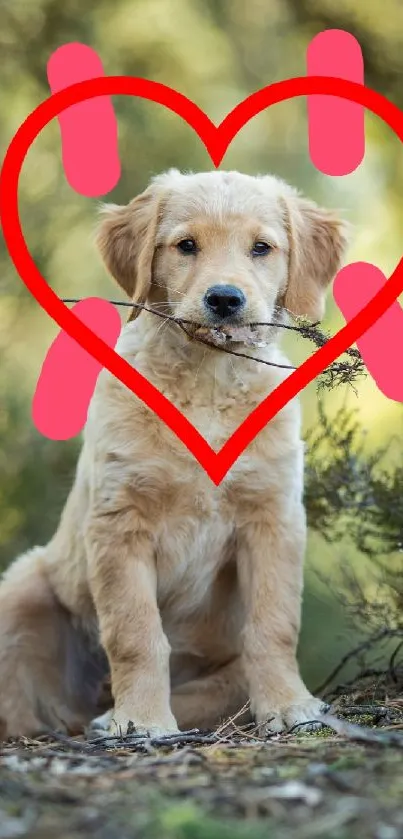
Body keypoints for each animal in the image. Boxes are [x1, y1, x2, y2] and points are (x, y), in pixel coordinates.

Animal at [0, 171, 348, 740]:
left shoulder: (272, 517)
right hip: (24, 585)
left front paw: (289, 705)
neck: (208, 381)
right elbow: (136, 632)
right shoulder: (119, 522)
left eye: (261, 248)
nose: (225, 299)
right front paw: (141, 720)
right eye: (186, 246)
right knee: (27, 704)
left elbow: (274, 624)